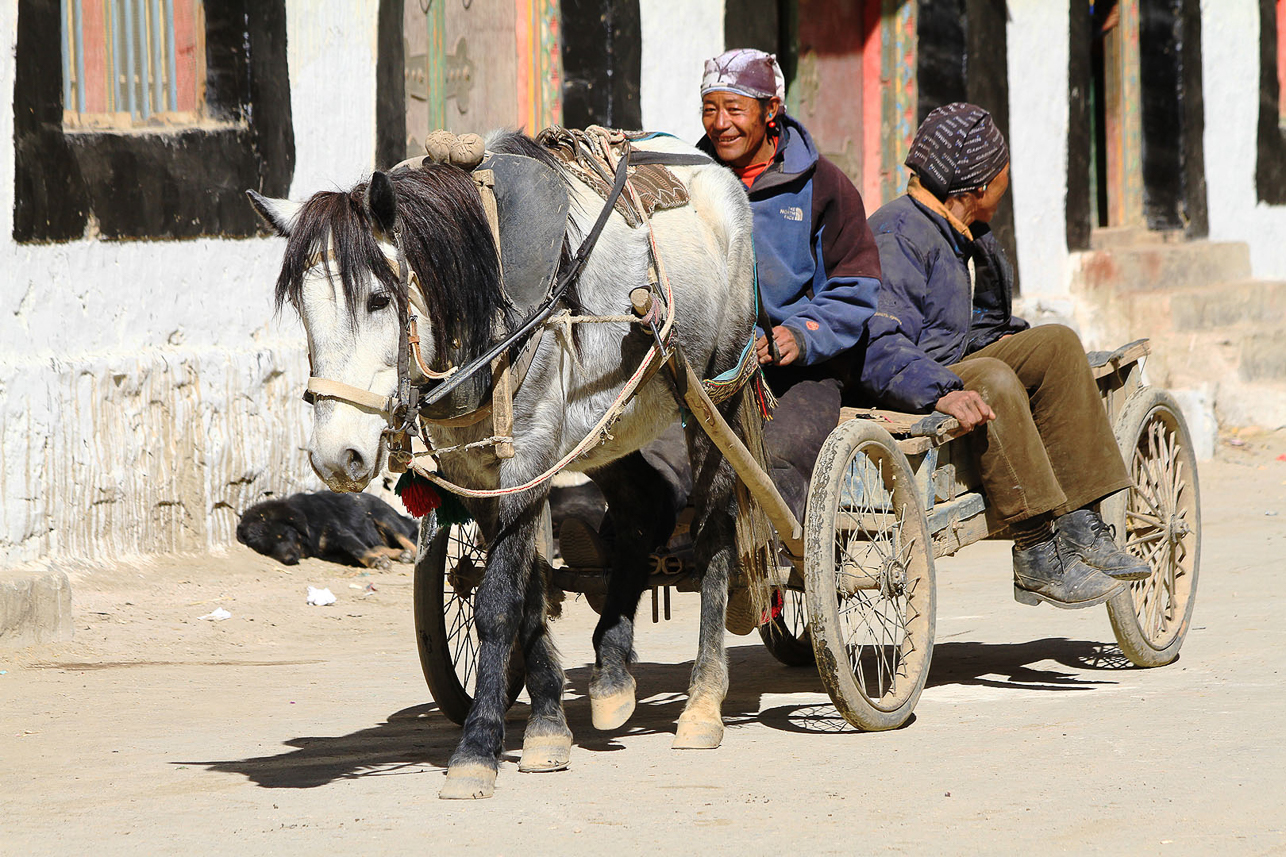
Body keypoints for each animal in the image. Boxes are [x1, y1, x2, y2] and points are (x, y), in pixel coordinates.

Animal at [239, 486, 419, 566]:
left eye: (283, 535)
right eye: (267, 548)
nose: (289, 560)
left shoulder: (339, 533)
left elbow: (358, 549)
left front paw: (376, 562)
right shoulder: (330, 552)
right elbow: (362, 551)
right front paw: (378, 559)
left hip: (384, 517)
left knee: (407, 539)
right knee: (381, 546)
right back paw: (402, 555)